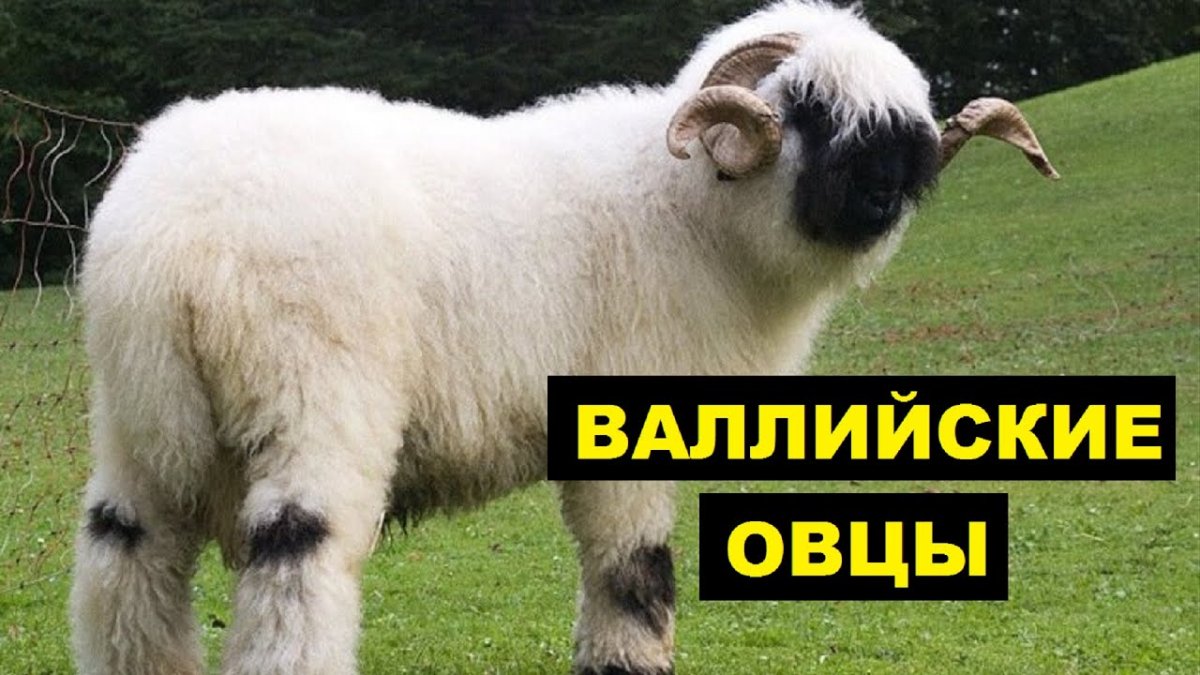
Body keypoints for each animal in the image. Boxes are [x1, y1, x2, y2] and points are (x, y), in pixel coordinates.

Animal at [70, 2, 1057, 674]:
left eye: (905, 123)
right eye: (809, 104)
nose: (887, 191)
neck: (687, 209)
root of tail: (170, 244)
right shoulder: (630, 414)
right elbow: (634, 566)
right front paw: (629, 659)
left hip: (136, 421)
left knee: (124, 559)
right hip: (310, 402)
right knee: (295, 567)